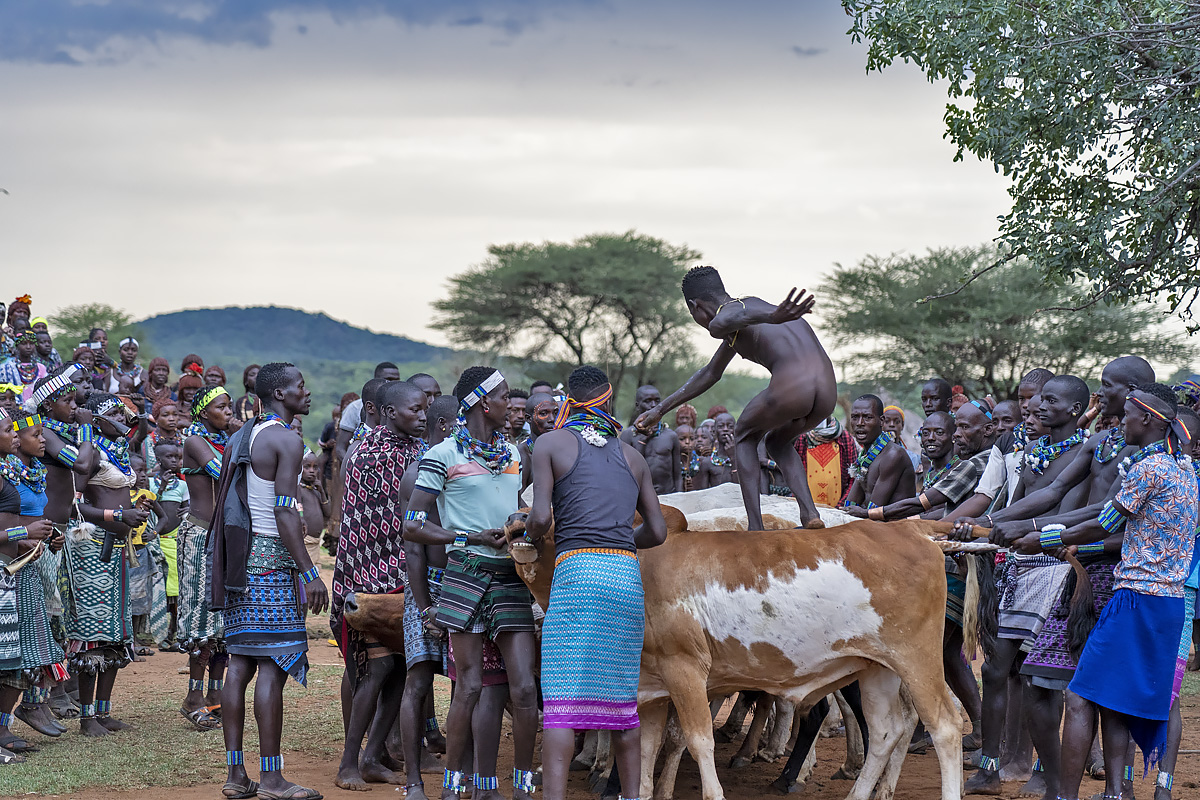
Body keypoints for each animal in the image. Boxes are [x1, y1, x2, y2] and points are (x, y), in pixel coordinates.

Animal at [507, 506, 966, 800]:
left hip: (916, 659)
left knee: (945, 727)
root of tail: (911, 530)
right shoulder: (652, 689)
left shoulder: (686, 671)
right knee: (887, 731)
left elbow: (698, 742)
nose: (516, 523)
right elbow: (647, 750)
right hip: (876, 669)